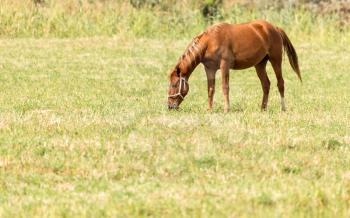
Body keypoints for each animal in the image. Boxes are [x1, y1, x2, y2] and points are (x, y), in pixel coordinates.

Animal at [167, 19, 300, 112]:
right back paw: (263, 109)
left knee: (280, 83)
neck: (210, 41)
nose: (170, 106)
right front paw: (209, 109)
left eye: (174, 84)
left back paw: (283, 108)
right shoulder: (209, 69)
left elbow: (225, 87)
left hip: (275, 60)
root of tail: (275, 28)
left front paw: (227, 109)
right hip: (260, 65)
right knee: (266, 84)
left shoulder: (224, 66)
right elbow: (210, 89)